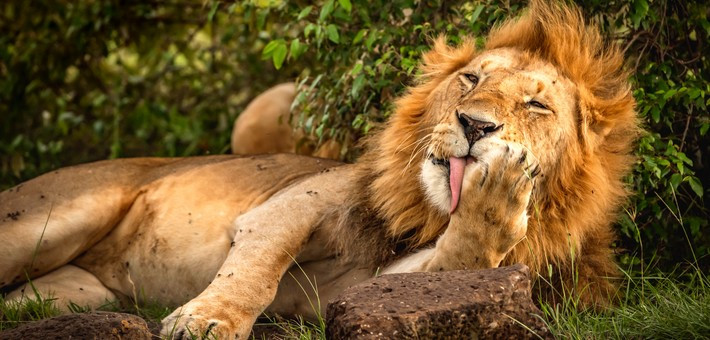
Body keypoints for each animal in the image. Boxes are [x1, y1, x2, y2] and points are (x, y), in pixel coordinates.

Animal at [0, 1, 640, 338]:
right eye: (471, 79)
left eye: (536, 105)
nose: (475, 125)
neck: (424, 213)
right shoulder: (293, 203)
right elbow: (255, 270)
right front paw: (206, 320)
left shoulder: (363, 289)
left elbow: (459, 259)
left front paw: (496, 202)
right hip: (54, 217)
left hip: (78, 293)